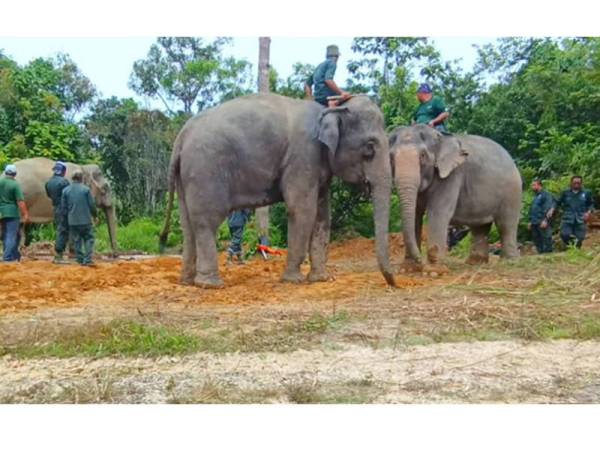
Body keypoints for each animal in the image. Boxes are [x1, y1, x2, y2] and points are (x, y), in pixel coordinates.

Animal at [159, 93, 396, 288]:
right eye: (369, 148)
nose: (393, 283)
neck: (330, 110)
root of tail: (181, 136)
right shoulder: (303, 156)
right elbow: (302, 210)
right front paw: (293, 280)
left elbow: (322, 215)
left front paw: (321, 279)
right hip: (205, 169)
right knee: (206, 222)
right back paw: (210, 285)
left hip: (187, 175)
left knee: (187, 224)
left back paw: (187, 281)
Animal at [390, 124, 520, 270]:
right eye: (391, 157)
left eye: (423, 155)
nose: (420, 261)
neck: (438, 136)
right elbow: (416, 215)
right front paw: (408, 268)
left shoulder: (452, 175)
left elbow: (438, 212)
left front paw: (434, 269)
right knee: (480, 227)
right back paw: (475, 263)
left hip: (512, 191)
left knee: (506, 224)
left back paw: (509, 262)